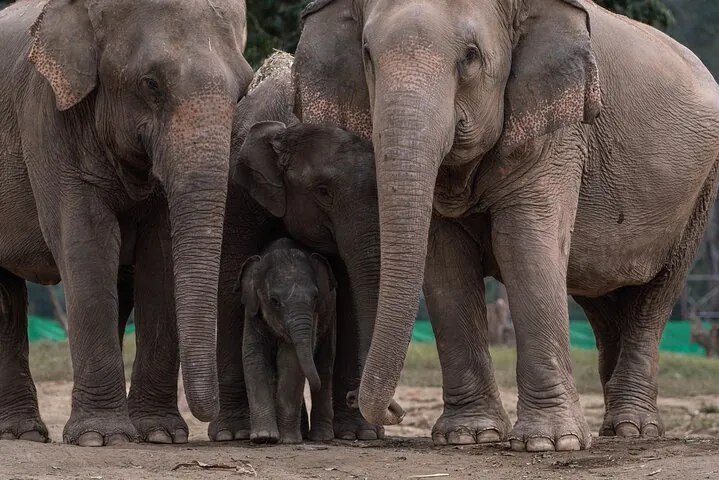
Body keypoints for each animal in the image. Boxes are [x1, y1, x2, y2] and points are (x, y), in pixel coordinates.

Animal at [0, 0, 252, 445]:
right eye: (151, 83)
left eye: (243, 90)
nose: (211, 421)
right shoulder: (44, 118)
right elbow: (86, 240)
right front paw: (101, 438)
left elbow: (161, 254)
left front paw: (159, 435)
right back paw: (25, 434)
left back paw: (24, 432)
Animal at [237, 237, 337, 444]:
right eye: (274, 300)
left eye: (315, 297)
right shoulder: (252, 311)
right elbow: (254, 357)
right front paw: (263, 438)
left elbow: (291, 362)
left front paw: (288, 441)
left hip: (330, 313)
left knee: (324, 364)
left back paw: (320, 437)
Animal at [293, 0, 719, 452]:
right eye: (367, 56)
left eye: (470, 57)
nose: (395, 409)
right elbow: (443, 259)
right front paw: (468, 436)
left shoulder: (561, 129)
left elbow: (524, 242)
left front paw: (550, 443)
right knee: (602, 302)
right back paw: (612, 426)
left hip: (699, 195)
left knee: (653, 296)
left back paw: (633, 429)